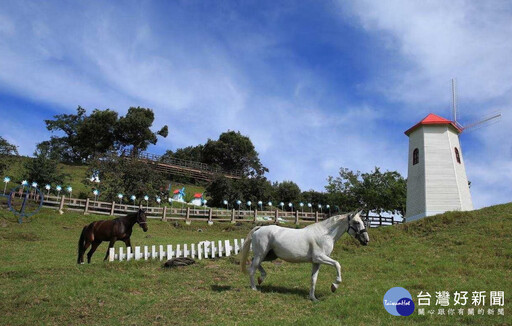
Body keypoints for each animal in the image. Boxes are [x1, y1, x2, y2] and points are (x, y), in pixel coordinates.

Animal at [240, 211, 368, 300]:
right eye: (357, 222)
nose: (366, 240)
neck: (325, 234)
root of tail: (260, 228)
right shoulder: (319, 257)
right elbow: (337, 264)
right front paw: (334, 286)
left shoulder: (317, 262)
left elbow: (313, 279)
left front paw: (313, 298)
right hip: (261, 254)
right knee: (252, 268)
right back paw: (254, 288)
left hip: (270, 255)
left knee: (254, 263)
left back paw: (261, 279)